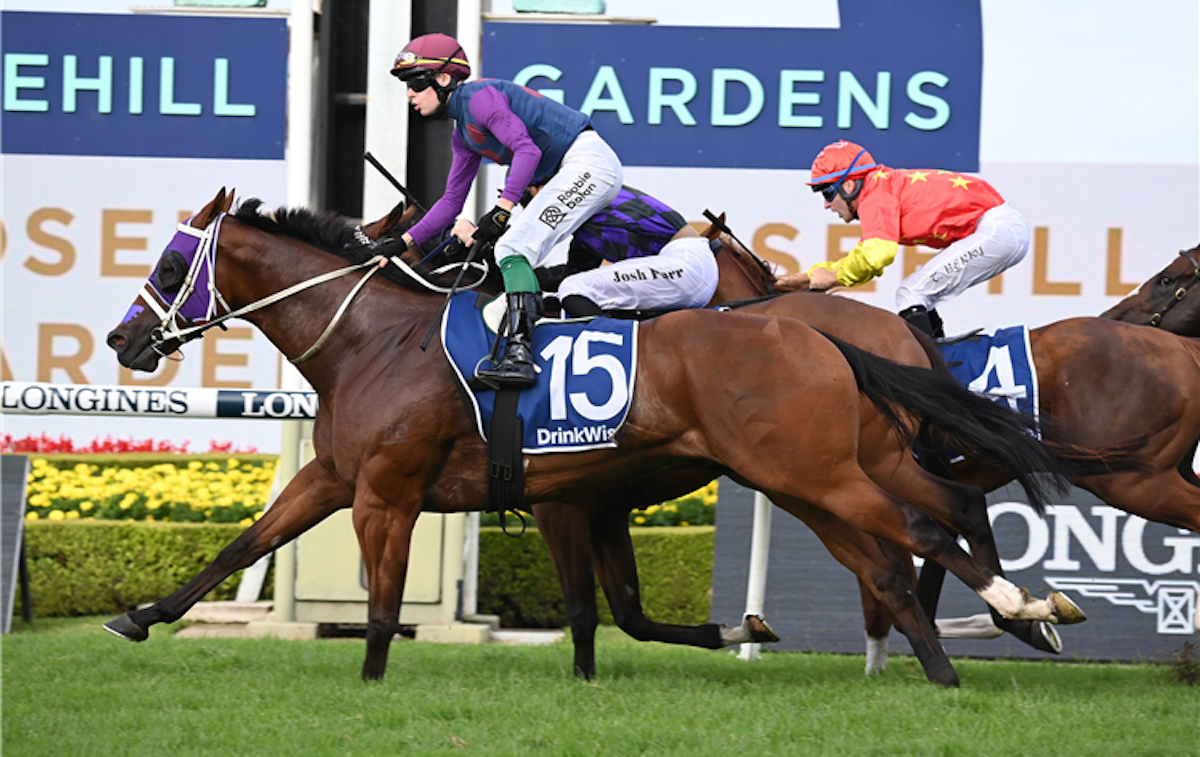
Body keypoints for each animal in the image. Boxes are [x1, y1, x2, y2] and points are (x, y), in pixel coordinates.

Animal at [100, 190, 1089, 686]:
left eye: (169, 264)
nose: (121, 339)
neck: (372, 340)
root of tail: (818, 333)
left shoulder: (391, 491)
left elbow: (383, 601)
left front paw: (373, 679)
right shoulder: (341, 479)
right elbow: (239, 545)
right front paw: (140, 615)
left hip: (809, 470)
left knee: (914, 532)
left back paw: (1005, 617)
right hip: (842, 462)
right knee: (936, 512)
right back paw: (994, 631)